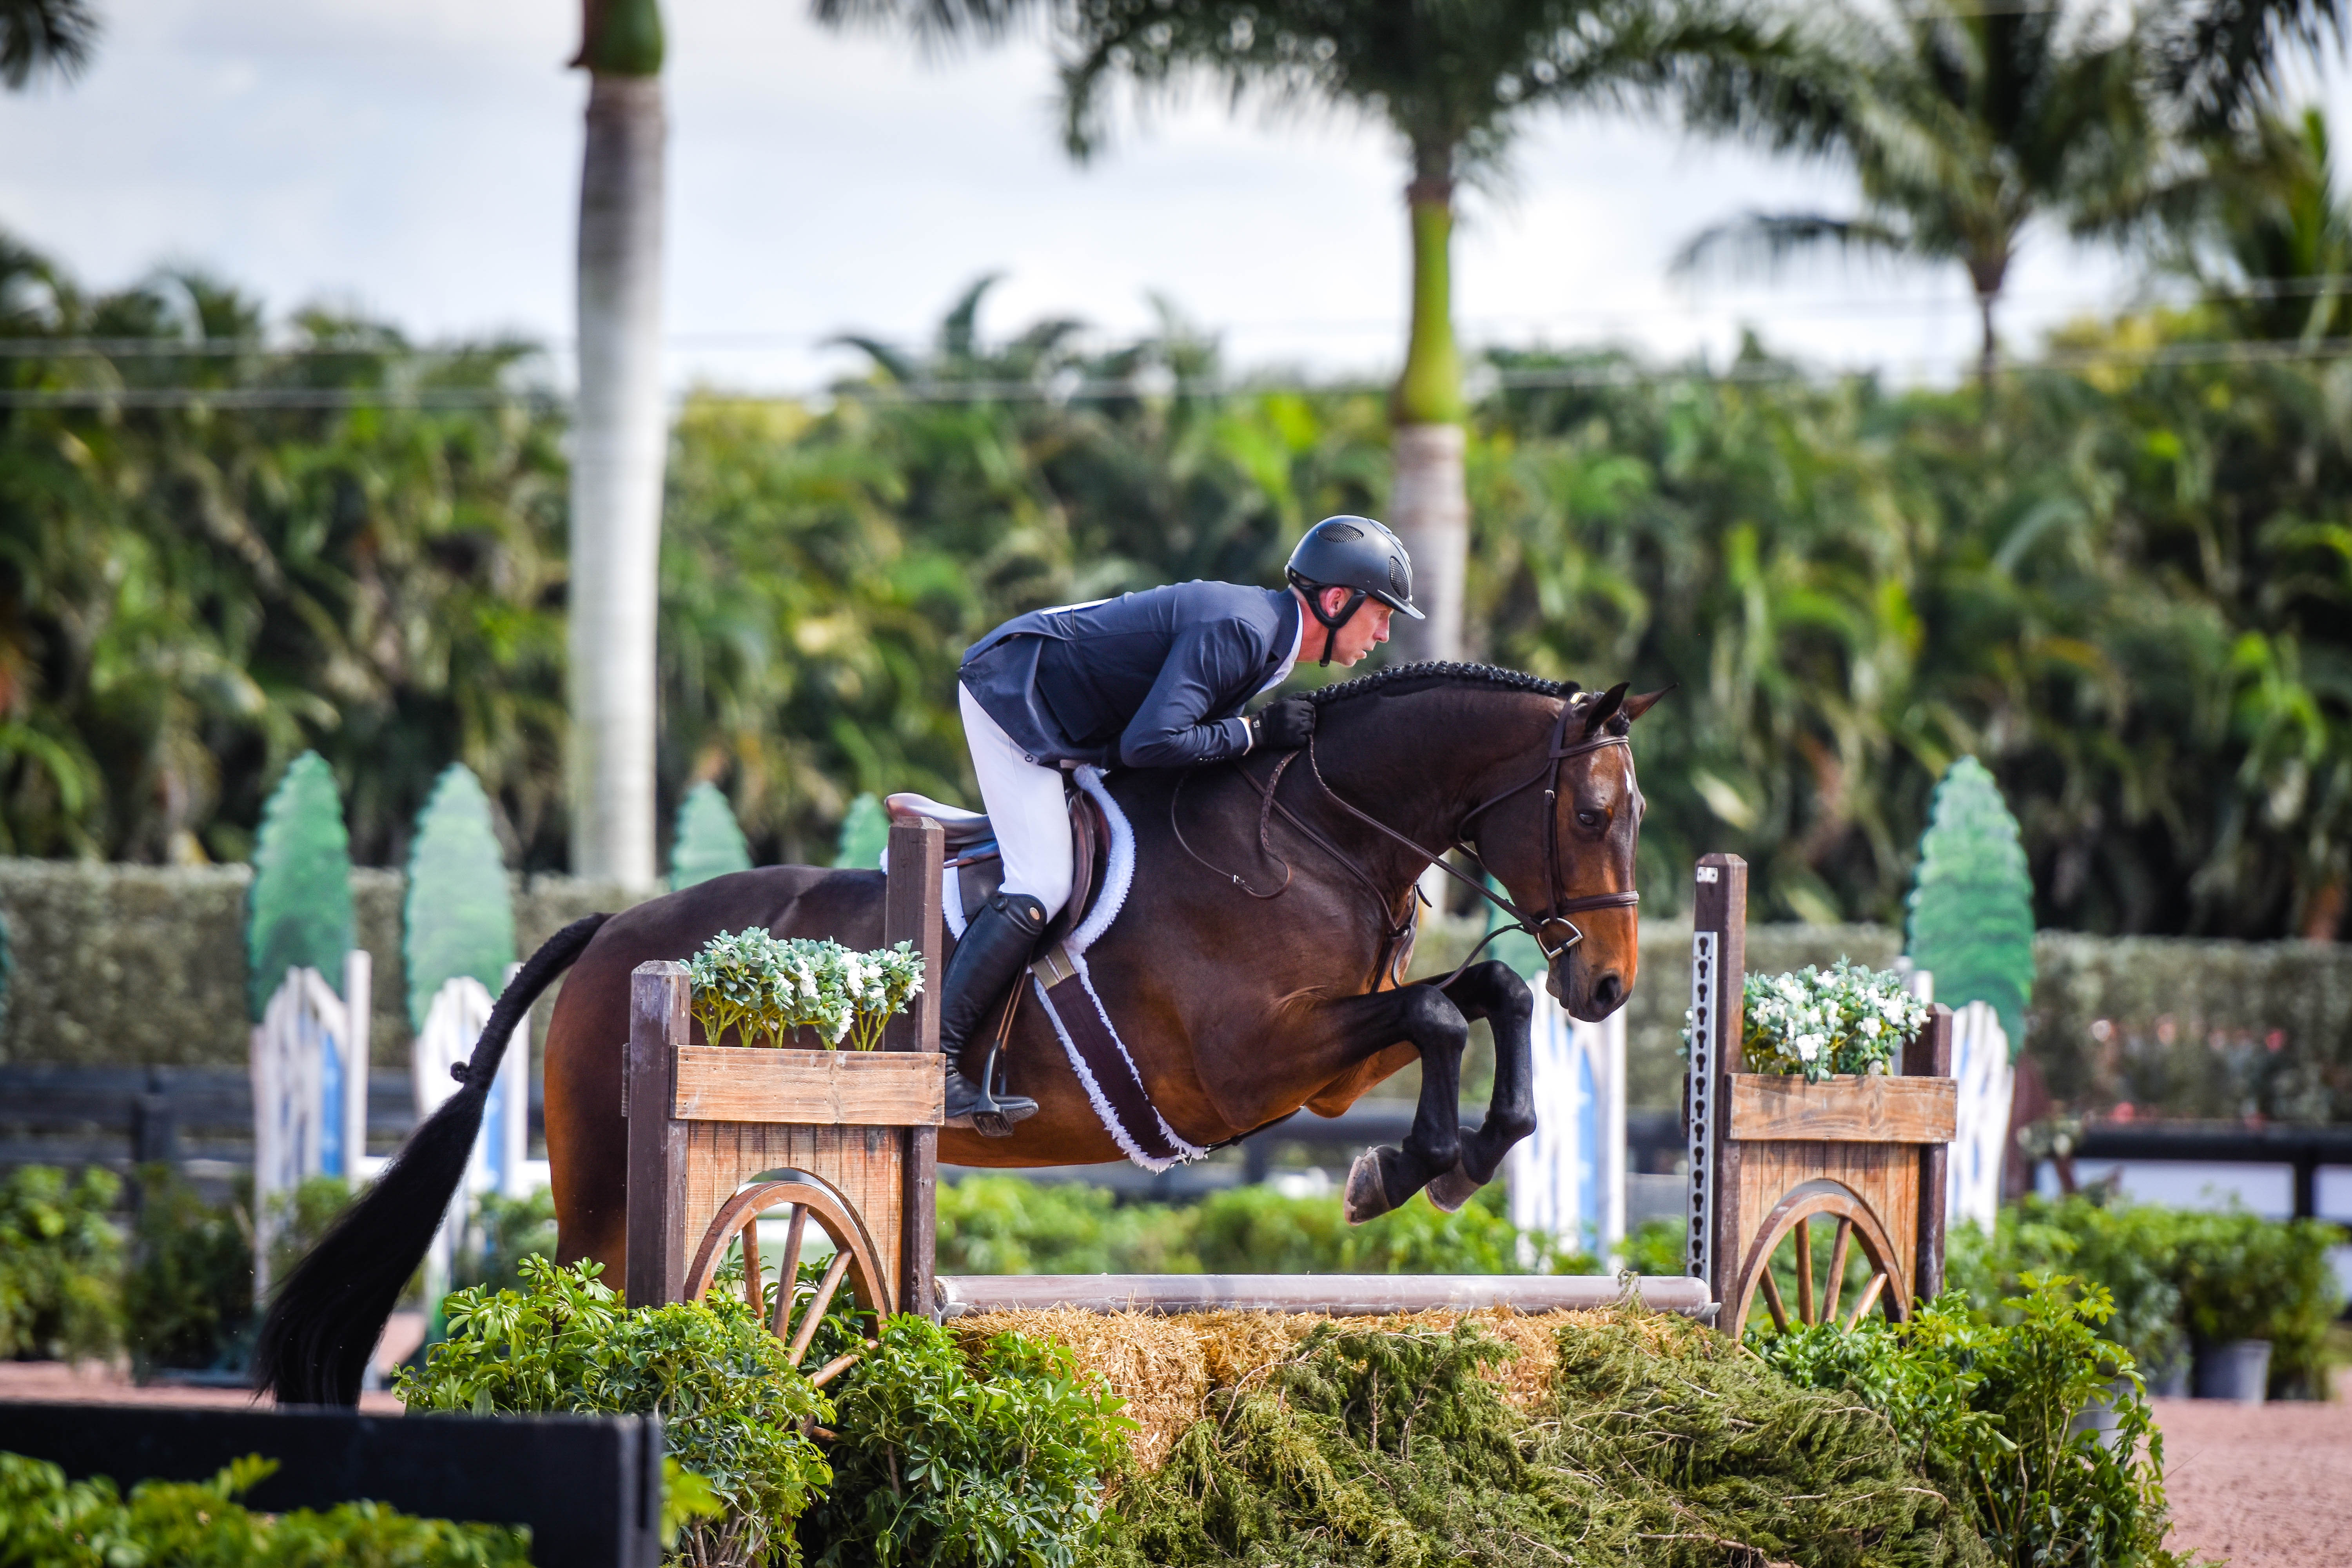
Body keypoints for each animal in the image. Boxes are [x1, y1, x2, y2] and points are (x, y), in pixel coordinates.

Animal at [258, 668, 1656, 1410]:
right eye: (1593, 813)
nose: (1609, 987)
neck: (1315, 828)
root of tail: (616, 930)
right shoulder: (1240, 1069)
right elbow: (1436, 1008)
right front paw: (1408, 1169)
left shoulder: (1315, 1075)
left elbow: (1481, 995)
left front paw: (1455, 1155)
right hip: (611, 1186)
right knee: (582, 1302)